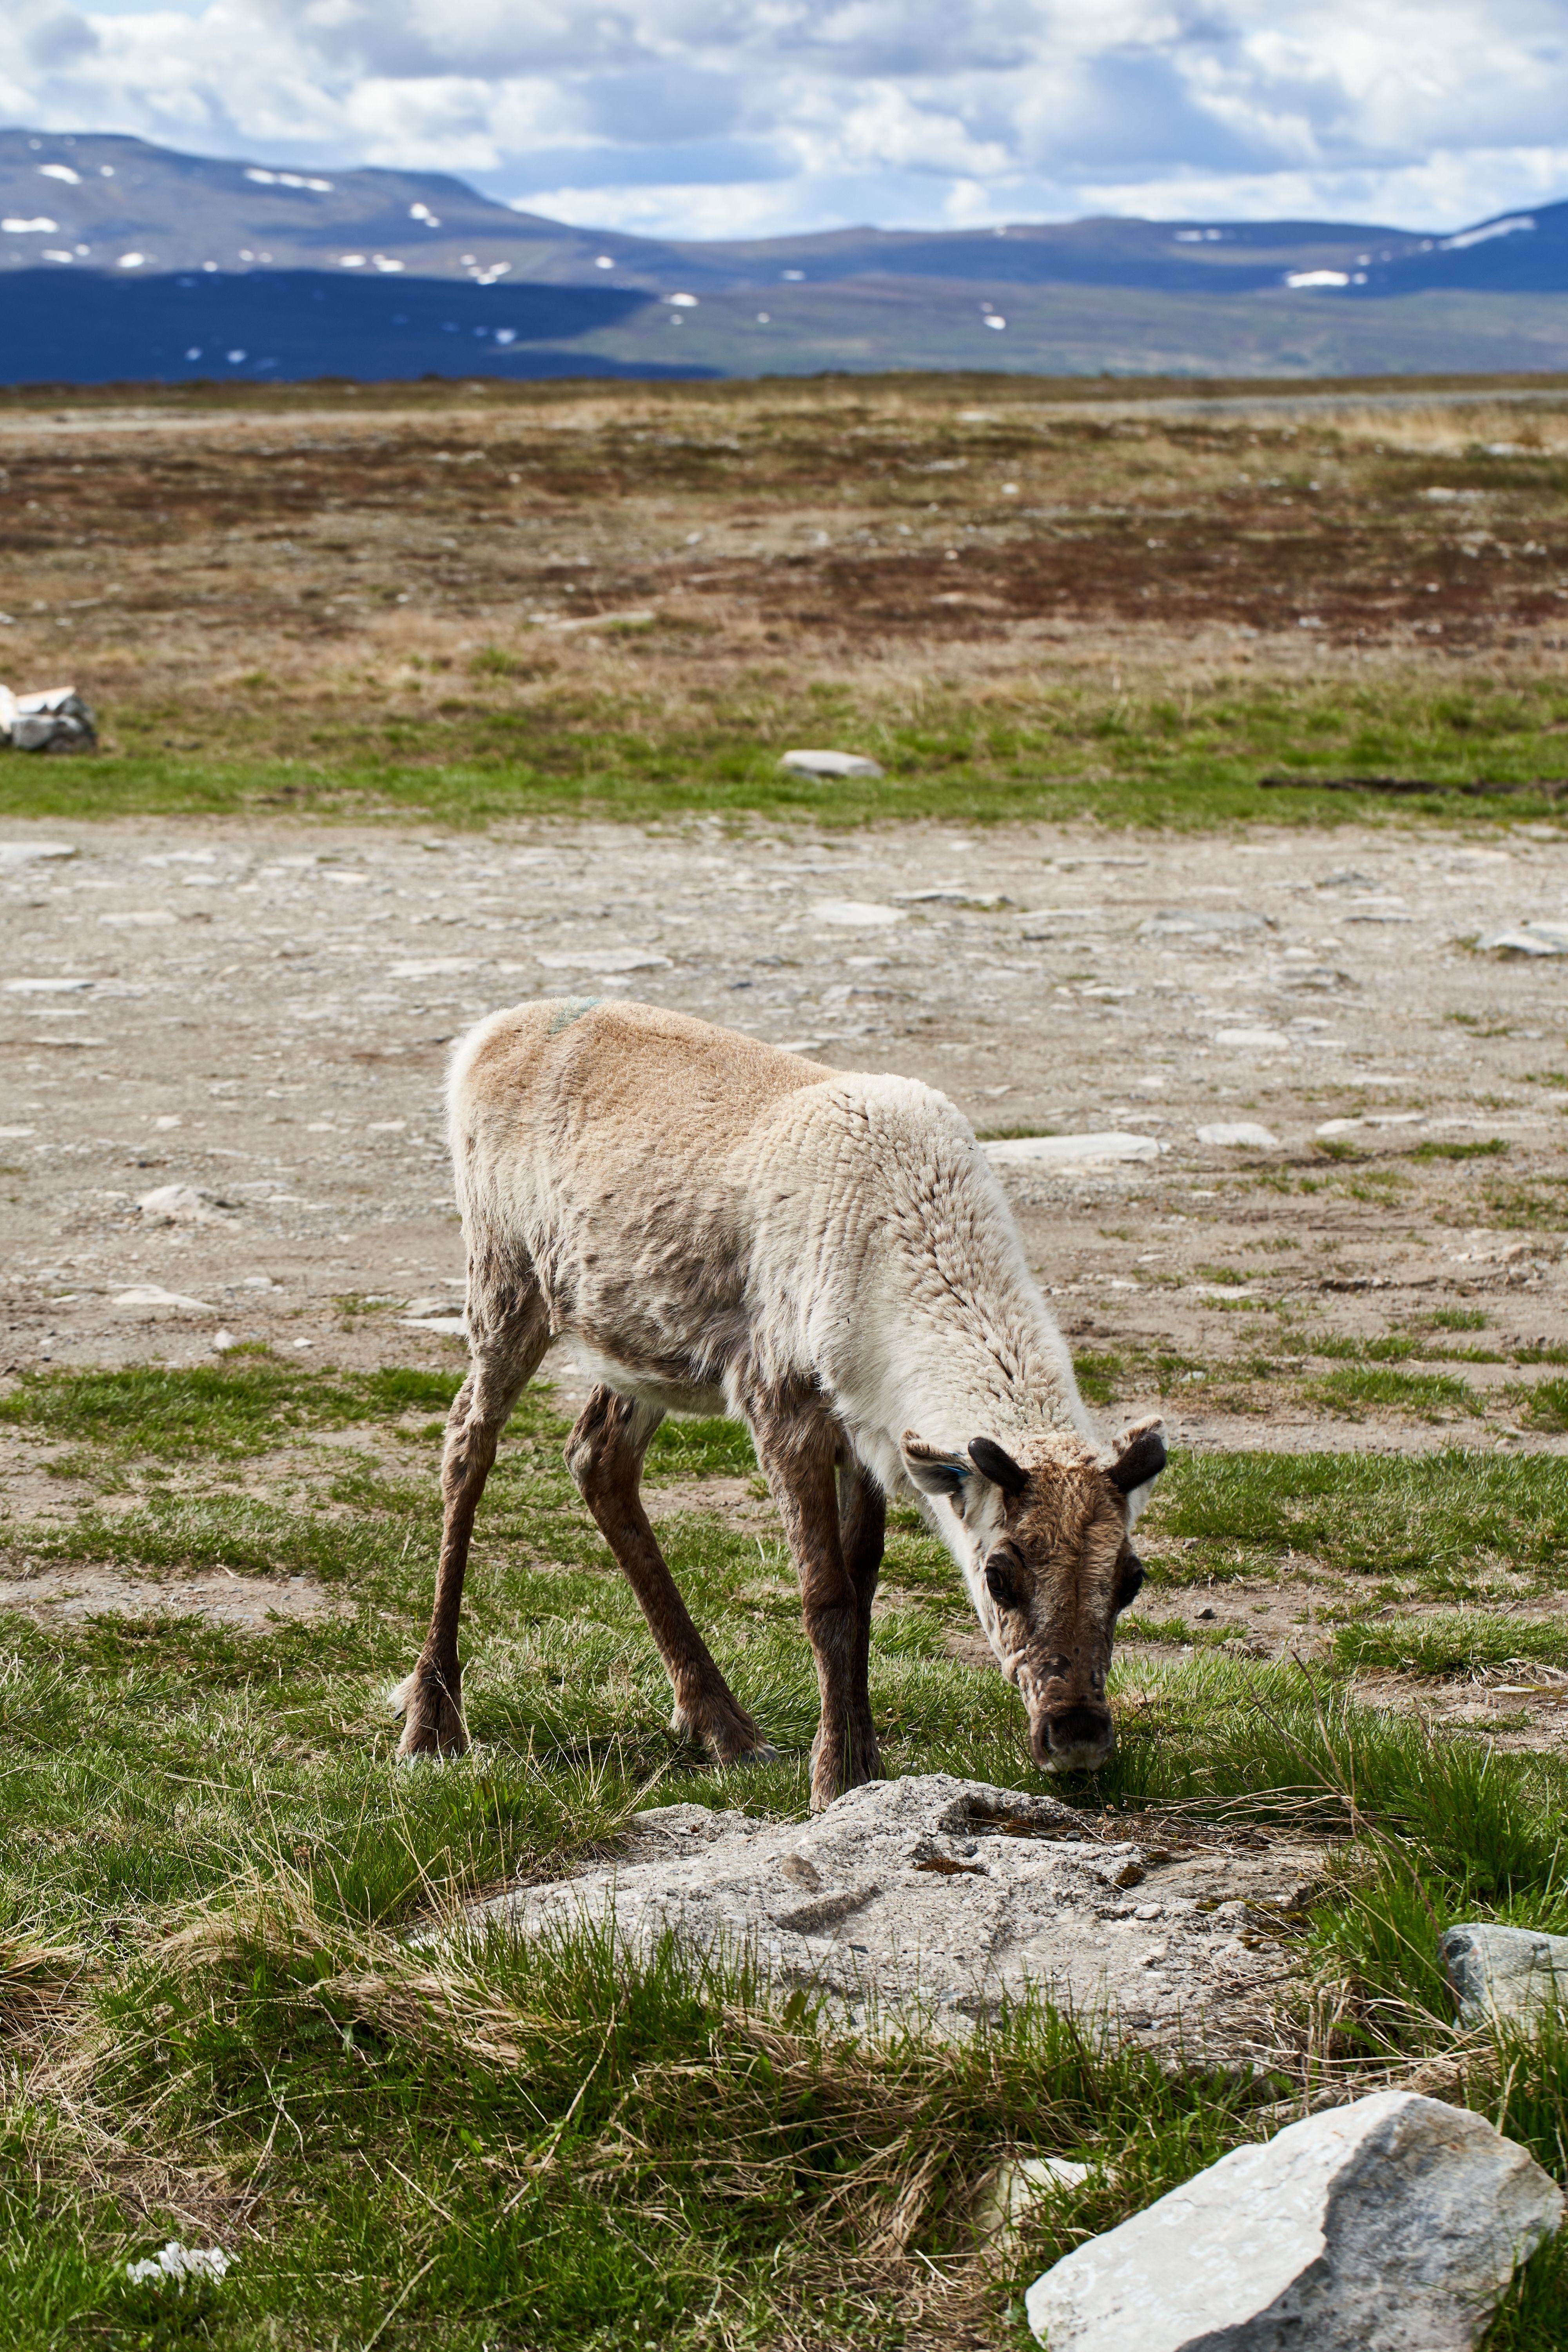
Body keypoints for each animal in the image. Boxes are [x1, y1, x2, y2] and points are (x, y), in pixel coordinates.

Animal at [392, 997, 1166, 1811]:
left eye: (1131, 1578)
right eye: (999, 1575)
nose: (1077, 1734)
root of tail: (485, 1035)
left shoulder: (868, 1428)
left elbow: (863, 1587)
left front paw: (865, 1767)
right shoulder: (781, 1401)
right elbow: (825, 1597)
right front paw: (832, 1781)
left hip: (634, 1337)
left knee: (596, 1455)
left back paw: (723, 1726)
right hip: (504, 1277)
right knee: (466, 1444)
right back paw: (432, 1722)